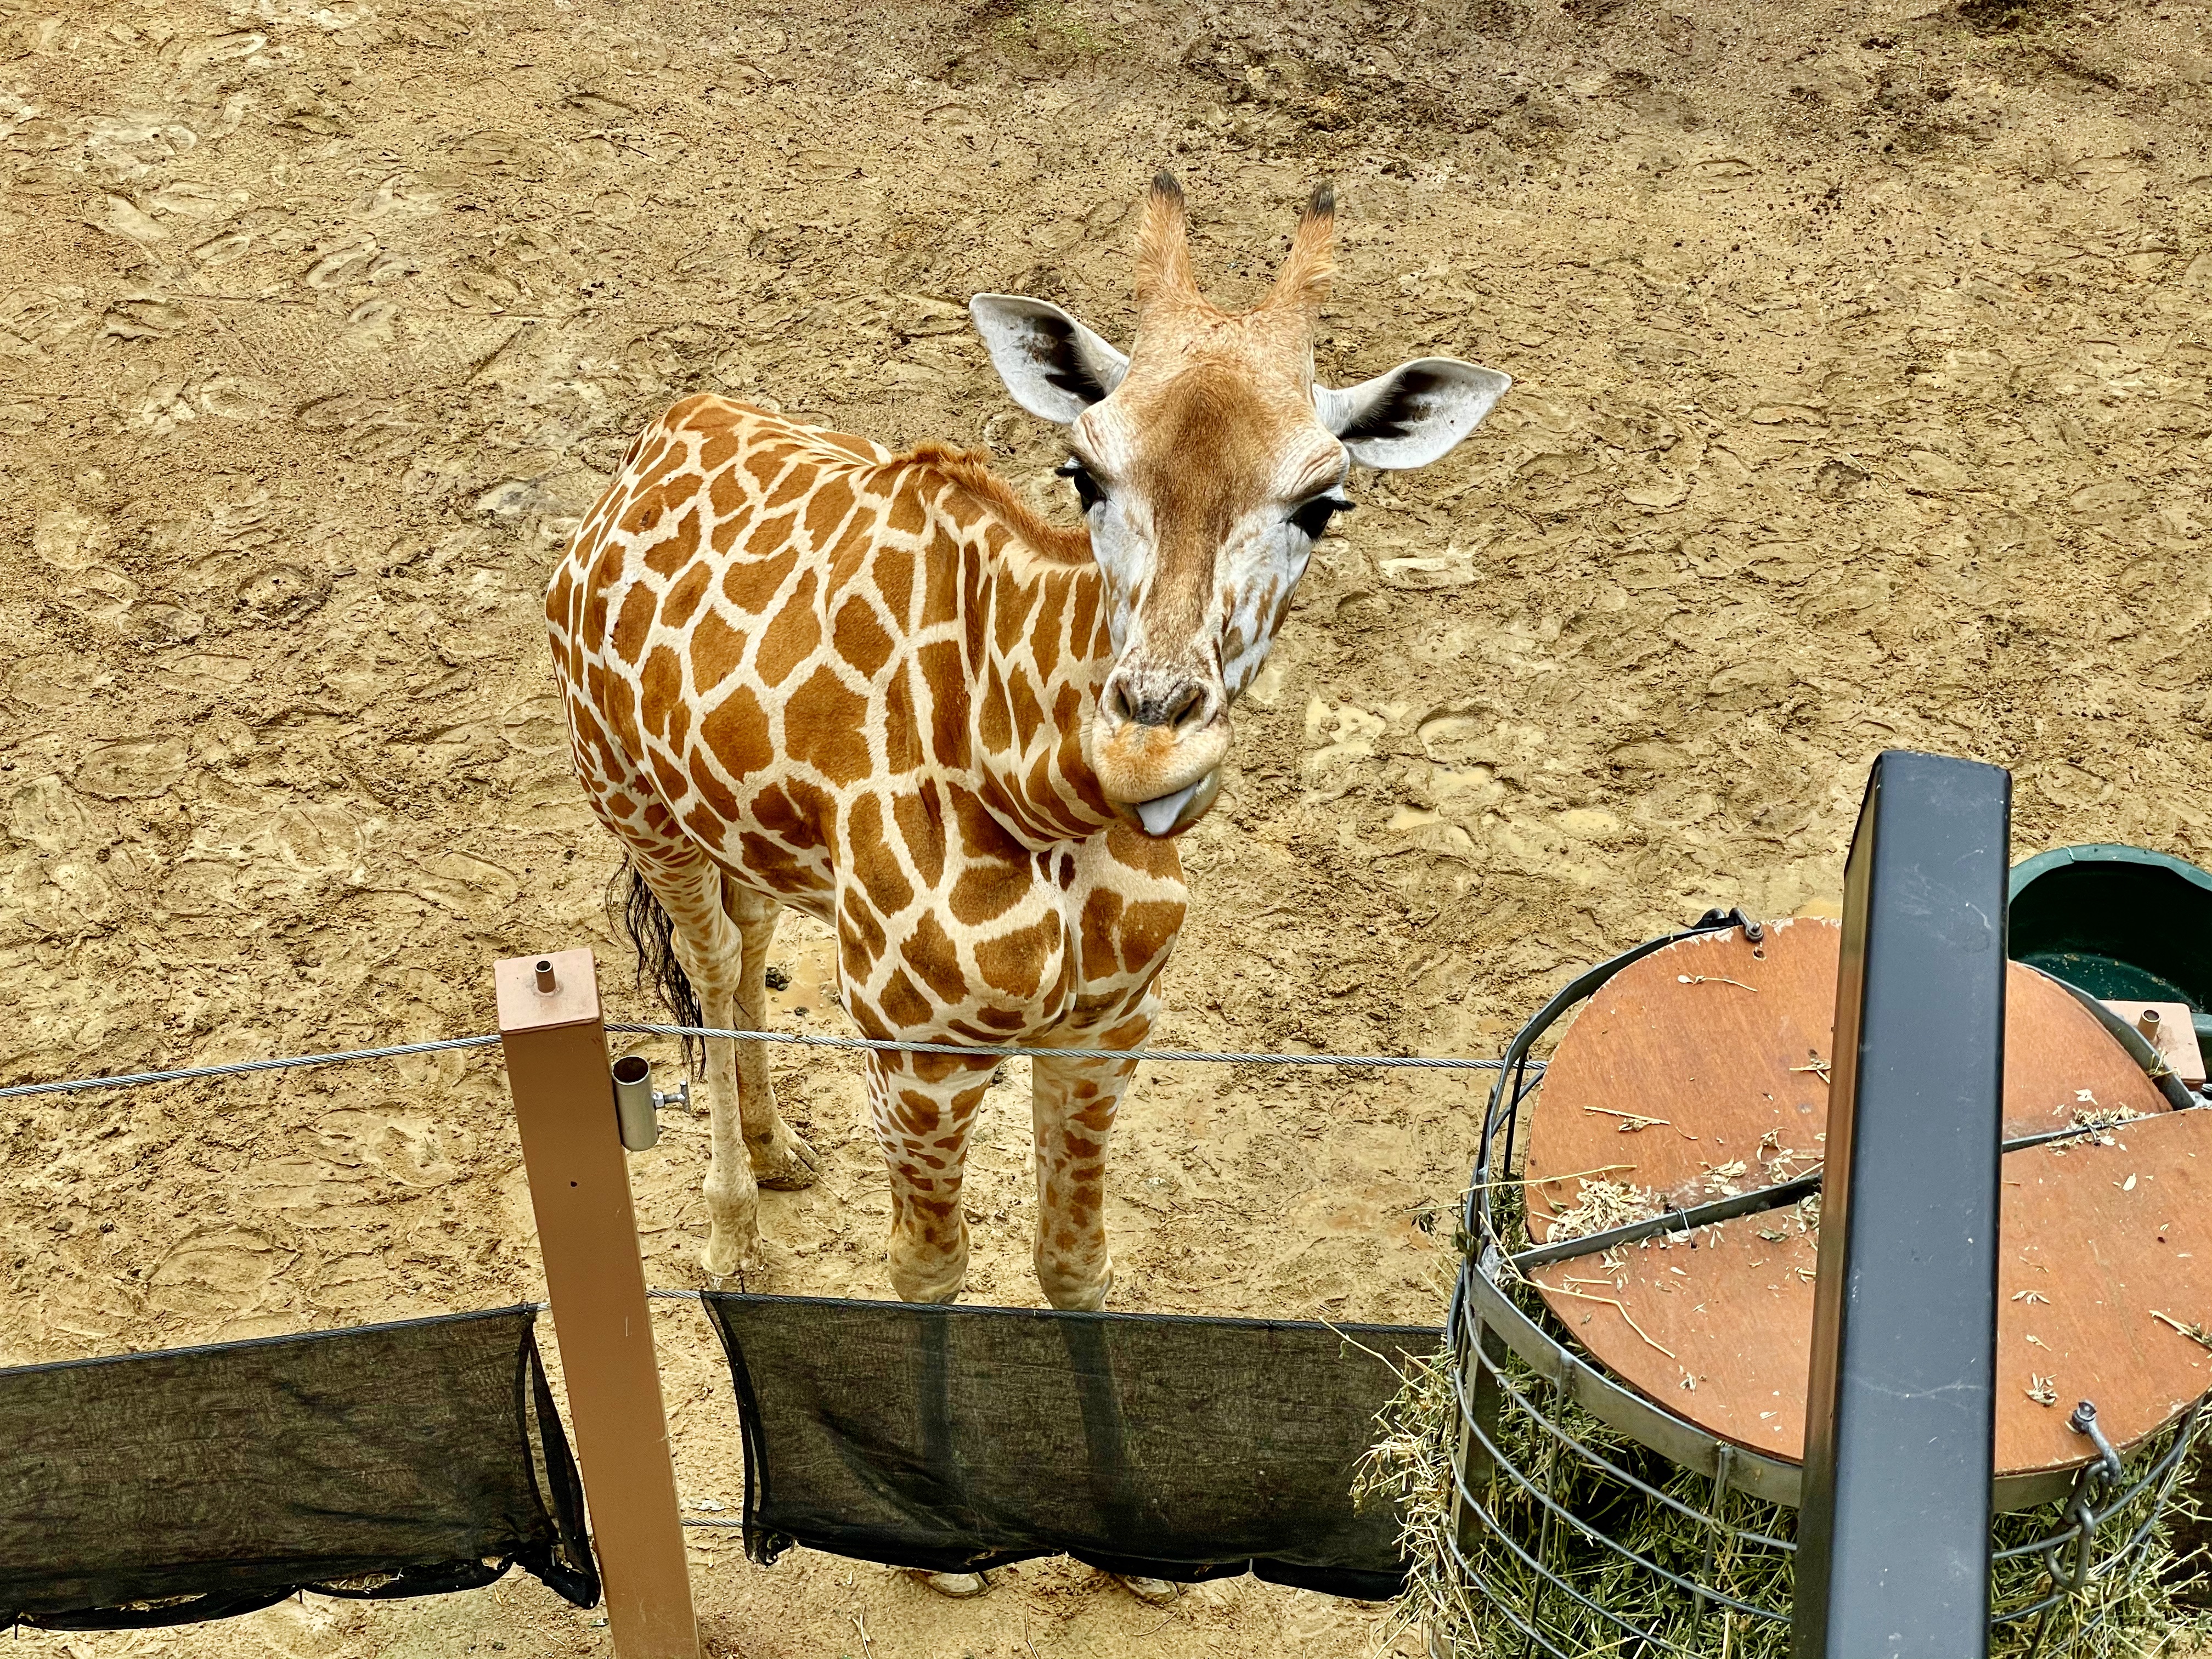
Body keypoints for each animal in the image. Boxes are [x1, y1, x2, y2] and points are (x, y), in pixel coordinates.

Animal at [546, 173, 1511, 1312]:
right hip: (631, 802)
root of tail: (657, 436)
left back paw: (778, 1148)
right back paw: (730, 1229)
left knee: (749, 943)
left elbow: (1074, 1265)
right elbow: (928, 1270)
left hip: (742, 830)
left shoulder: (1107, 1029)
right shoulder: (915, 1051)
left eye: (1321, 503)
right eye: (1082, 471)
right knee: (710, 956)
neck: (1043, 796)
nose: (1147, 748)